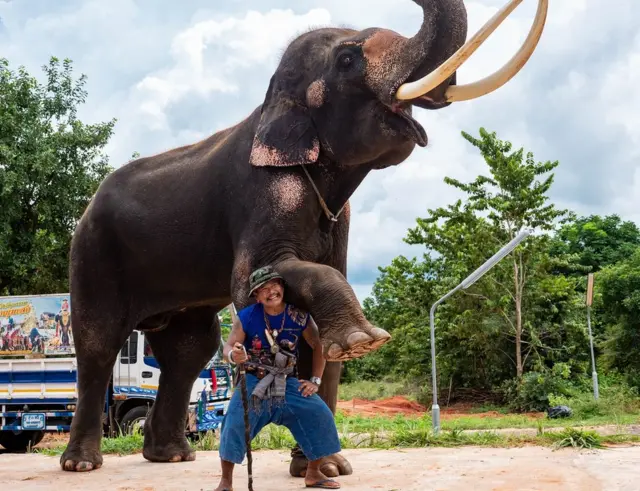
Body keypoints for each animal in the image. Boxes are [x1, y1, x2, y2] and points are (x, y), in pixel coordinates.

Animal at [62, 0, 548, 478]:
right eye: (347, 60)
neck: (271, 101)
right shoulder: (263, 192)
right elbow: (254, 281)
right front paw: (362, 339)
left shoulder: (339, 217)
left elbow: (319, 330)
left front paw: (327, 467)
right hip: (92, 251)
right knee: (99, 342)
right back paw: (82, 464)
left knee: (189, 349)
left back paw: (172, 457)